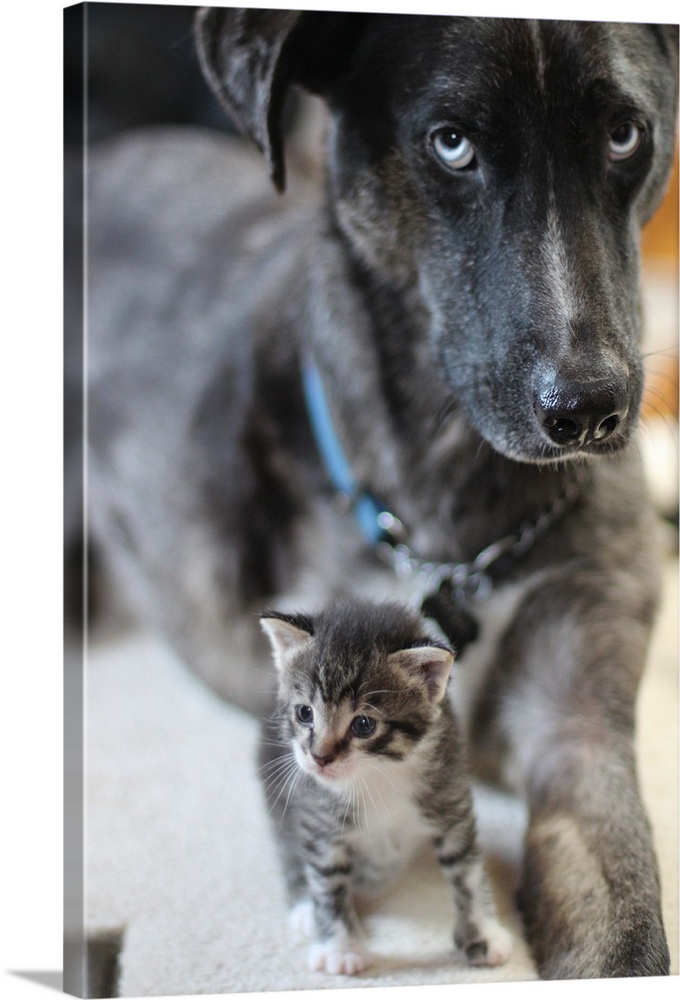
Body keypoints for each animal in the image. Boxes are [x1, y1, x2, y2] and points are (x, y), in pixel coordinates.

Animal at [258, 596, 512, 972]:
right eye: (304, 713)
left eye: (363, 725)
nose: (319, 758)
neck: (379, 773)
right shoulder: (320, 817)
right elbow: (327, 881)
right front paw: (341, 948)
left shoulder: (450, 796)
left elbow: (466, 869)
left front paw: (484, 932)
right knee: (287, 844)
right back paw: (305, 908)